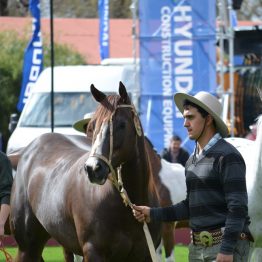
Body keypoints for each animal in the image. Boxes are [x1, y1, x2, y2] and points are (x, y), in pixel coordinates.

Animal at [10, 82, 164, 262]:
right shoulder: (93, 251)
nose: (93, 168)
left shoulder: (143, 255)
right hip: (28, 247)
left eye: (121, 124)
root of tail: (28, 150)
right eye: (92, 126)